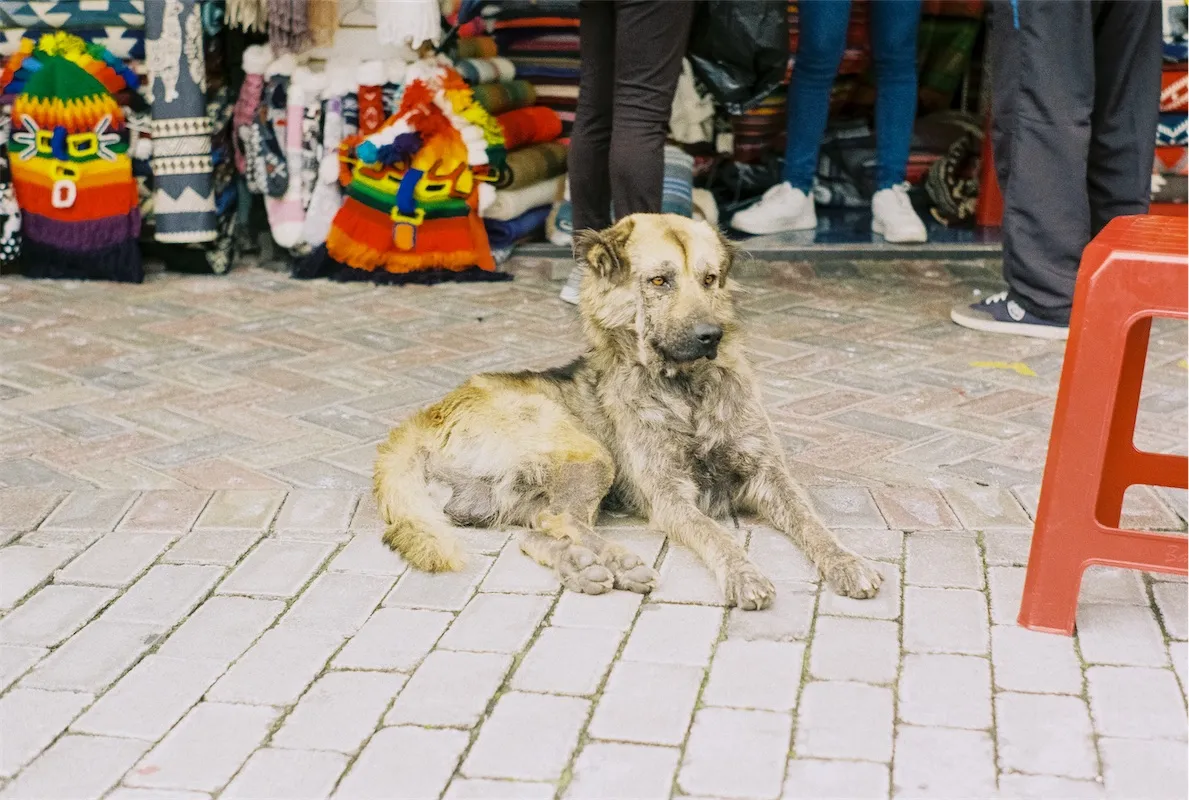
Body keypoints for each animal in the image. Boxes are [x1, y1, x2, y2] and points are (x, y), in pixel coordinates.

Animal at [370, 211, 884, 606]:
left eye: (710, 279)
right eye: (659, 281)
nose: (711, 337)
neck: (686, 392)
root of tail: (424, 417)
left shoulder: (770, 474)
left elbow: (813, 524)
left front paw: (846, 560)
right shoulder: (671, 495)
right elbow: (717, 536)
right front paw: (744, 573)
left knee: (535, 532)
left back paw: (581, 567)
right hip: (590, 455)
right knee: (561, 520)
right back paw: (618, 561)